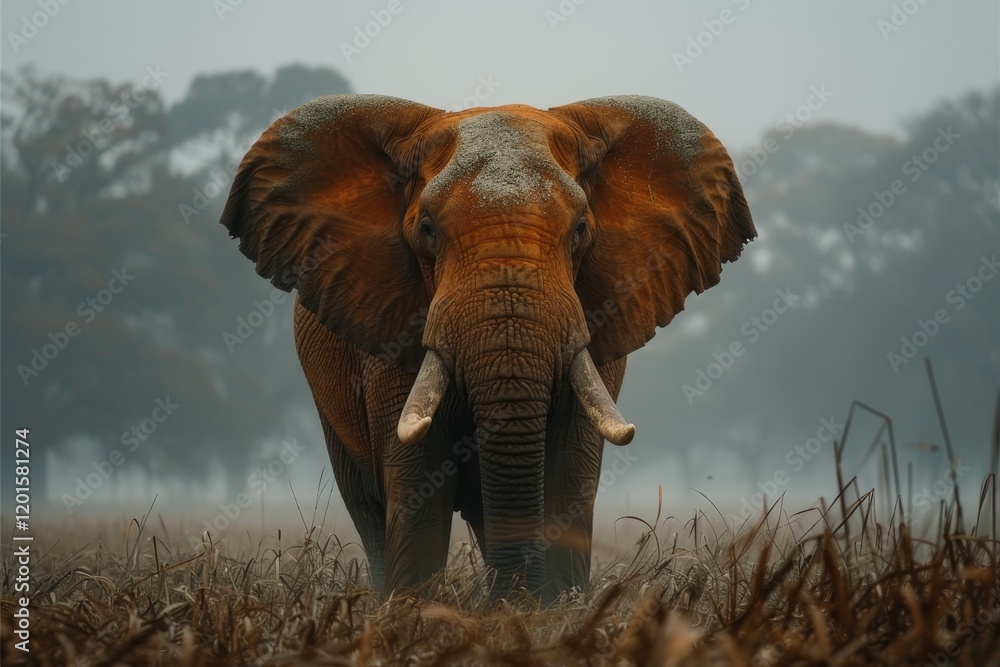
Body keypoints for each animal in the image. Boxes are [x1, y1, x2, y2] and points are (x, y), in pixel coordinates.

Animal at [220, 93, 755, 602]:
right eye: (427, 231)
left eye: (581, 230)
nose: (516, 600)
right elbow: (416, 485)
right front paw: (417, 609)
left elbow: (569, 477)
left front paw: (548, 608)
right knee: (368, 506)